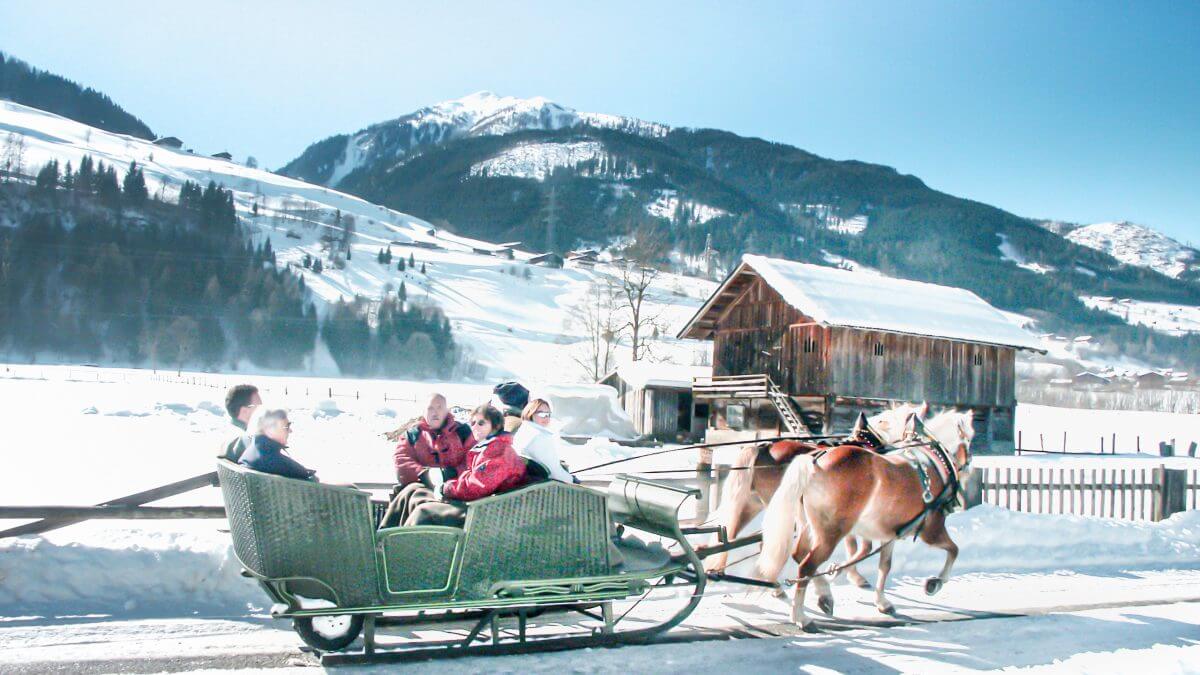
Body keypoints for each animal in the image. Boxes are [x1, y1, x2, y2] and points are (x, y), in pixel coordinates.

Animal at [700, 398, 926, 588]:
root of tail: (763, 447)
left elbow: (857, 546)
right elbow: (862, 547)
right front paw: (847, 574)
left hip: (752, 503)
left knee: (735, 534)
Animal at [758, 408, 974, 629]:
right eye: (967, 438)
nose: (968, 462)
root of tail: (814, 462)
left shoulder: (890, 531)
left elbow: (884, 565)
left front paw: (882, 601)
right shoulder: (931, 528)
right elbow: (953, 550)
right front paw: (935, 583)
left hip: (809, 526)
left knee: (798, 555)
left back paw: (820, 595)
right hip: (831, 531)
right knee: (806, 566)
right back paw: (801, 616)